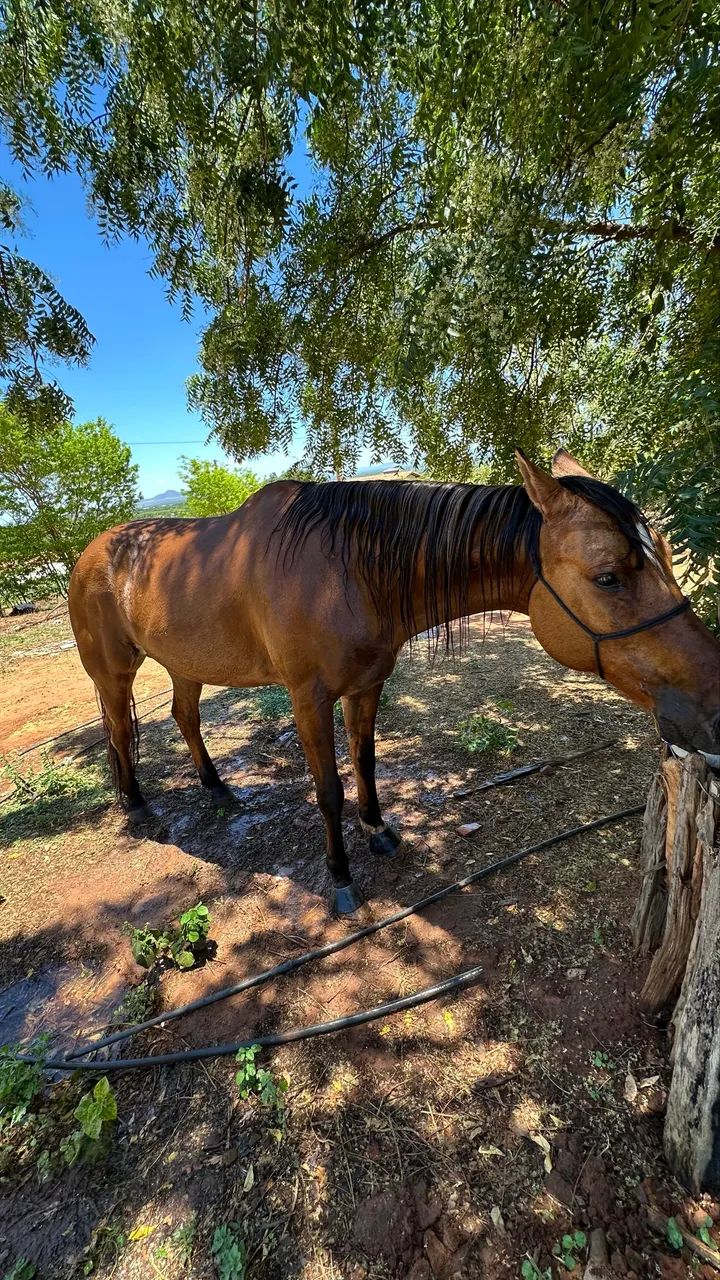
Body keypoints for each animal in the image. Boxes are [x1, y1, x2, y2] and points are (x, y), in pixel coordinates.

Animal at [68, 448, 720, 914]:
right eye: (608, 577)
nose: (713, 708)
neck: (342, 570)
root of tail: (91, 553)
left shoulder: (366, 686)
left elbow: (366, 763)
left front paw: (378, 830)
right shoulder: (307, 699)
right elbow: (328, 788)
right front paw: (340, 879)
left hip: (186, 666)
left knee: (183, 717)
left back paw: (216, 788)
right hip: (114, 671)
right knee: (121, 730)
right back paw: (135, 804)